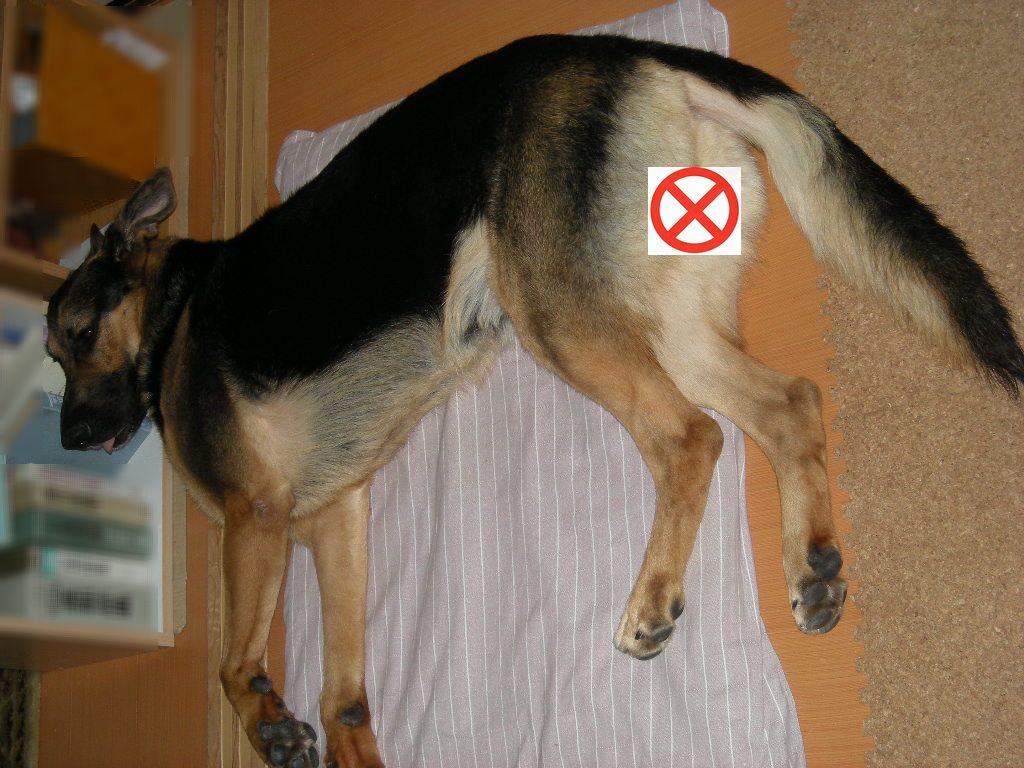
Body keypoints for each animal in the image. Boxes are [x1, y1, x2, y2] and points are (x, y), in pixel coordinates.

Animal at [45, 34, 1023, 768]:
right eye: (52, 352)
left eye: (77, 335)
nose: (68, 437)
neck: (175, 309)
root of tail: (621, 49)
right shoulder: (332, 520)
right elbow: (345, 697)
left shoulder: (257, 515)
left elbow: (232, 664)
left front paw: (267, 726)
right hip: (668, 319)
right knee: (787, 402)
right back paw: (811, 563)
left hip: (557, 314)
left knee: (691, 438)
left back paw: (653, 599)